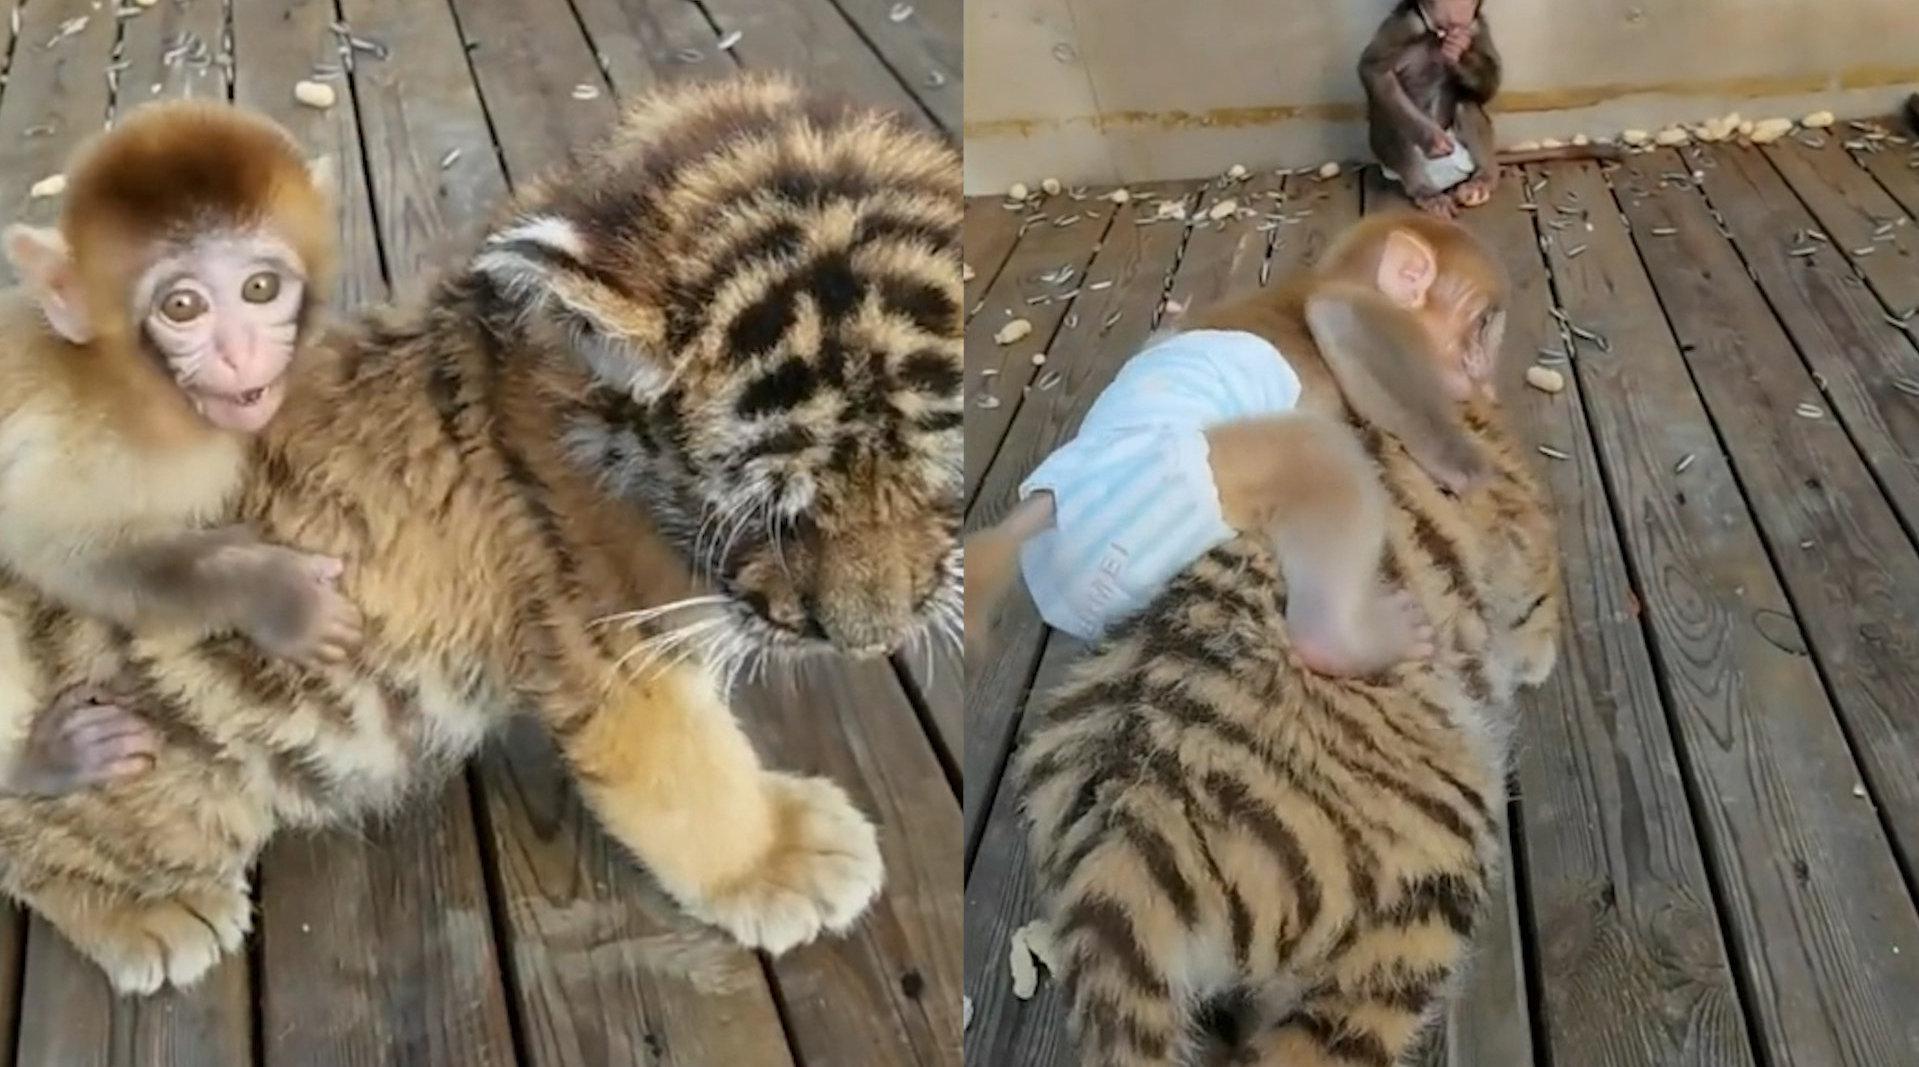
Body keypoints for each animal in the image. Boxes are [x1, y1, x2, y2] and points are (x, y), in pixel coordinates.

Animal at [0, 75, 961, 994]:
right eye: (773, 511)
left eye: (936, 483)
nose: (870, 642)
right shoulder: (613, 648)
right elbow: (689, 774)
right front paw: (783, 858)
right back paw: (158, 917)